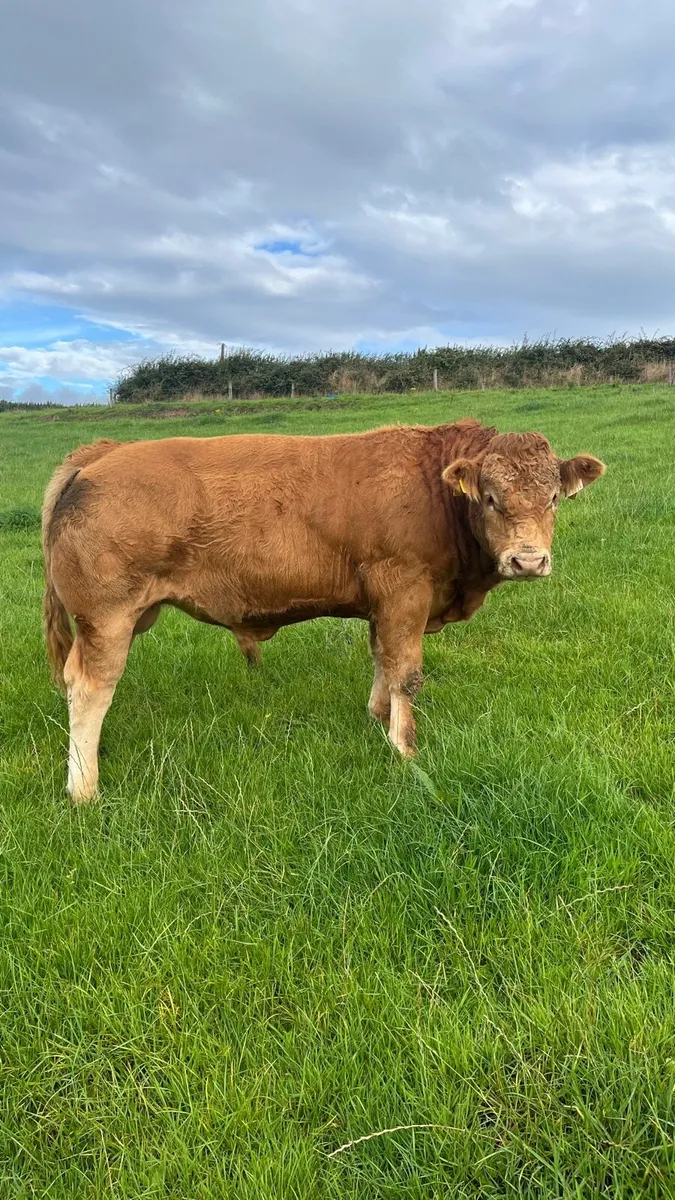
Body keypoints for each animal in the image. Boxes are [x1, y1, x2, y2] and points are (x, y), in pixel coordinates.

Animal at [42, 419, 605, 802]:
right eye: (489, 497)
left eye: (554, 498)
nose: (527, 560)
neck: (432, 488)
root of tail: (101, 454)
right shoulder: (405, 590)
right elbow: (407, 673)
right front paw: (406, 751)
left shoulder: (384, 603)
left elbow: (383, 659)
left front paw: (378, 717)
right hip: (107, 618)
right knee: (90, 688)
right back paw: (84, 788)